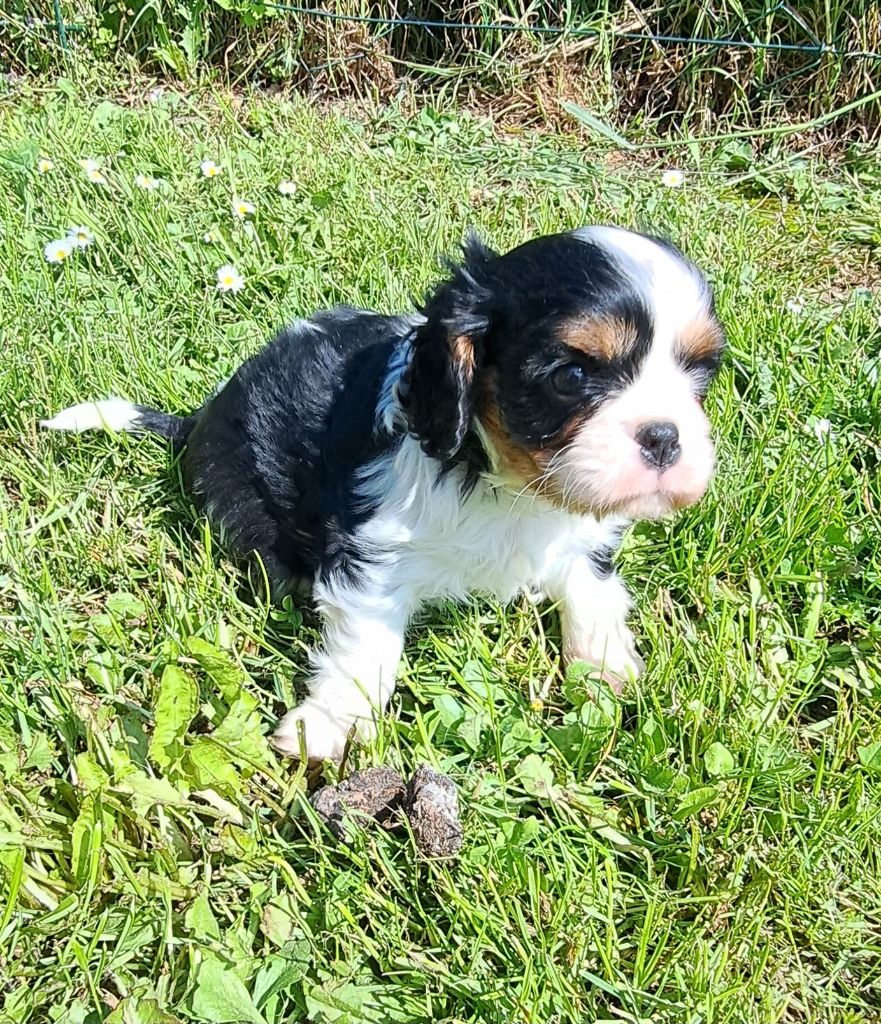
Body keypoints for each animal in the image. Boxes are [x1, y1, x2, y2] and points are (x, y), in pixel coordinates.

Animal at [43, 228, 721, 765]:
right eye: (573, 374)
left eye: (699, 374)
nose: (665, 436)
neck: (506, 482)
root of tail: (198, 418)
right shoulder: (373, 550)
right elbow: (366, 645)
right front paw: (331, 724)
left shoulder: (580, 534)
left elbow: (590, 583)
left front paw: (606, 665)